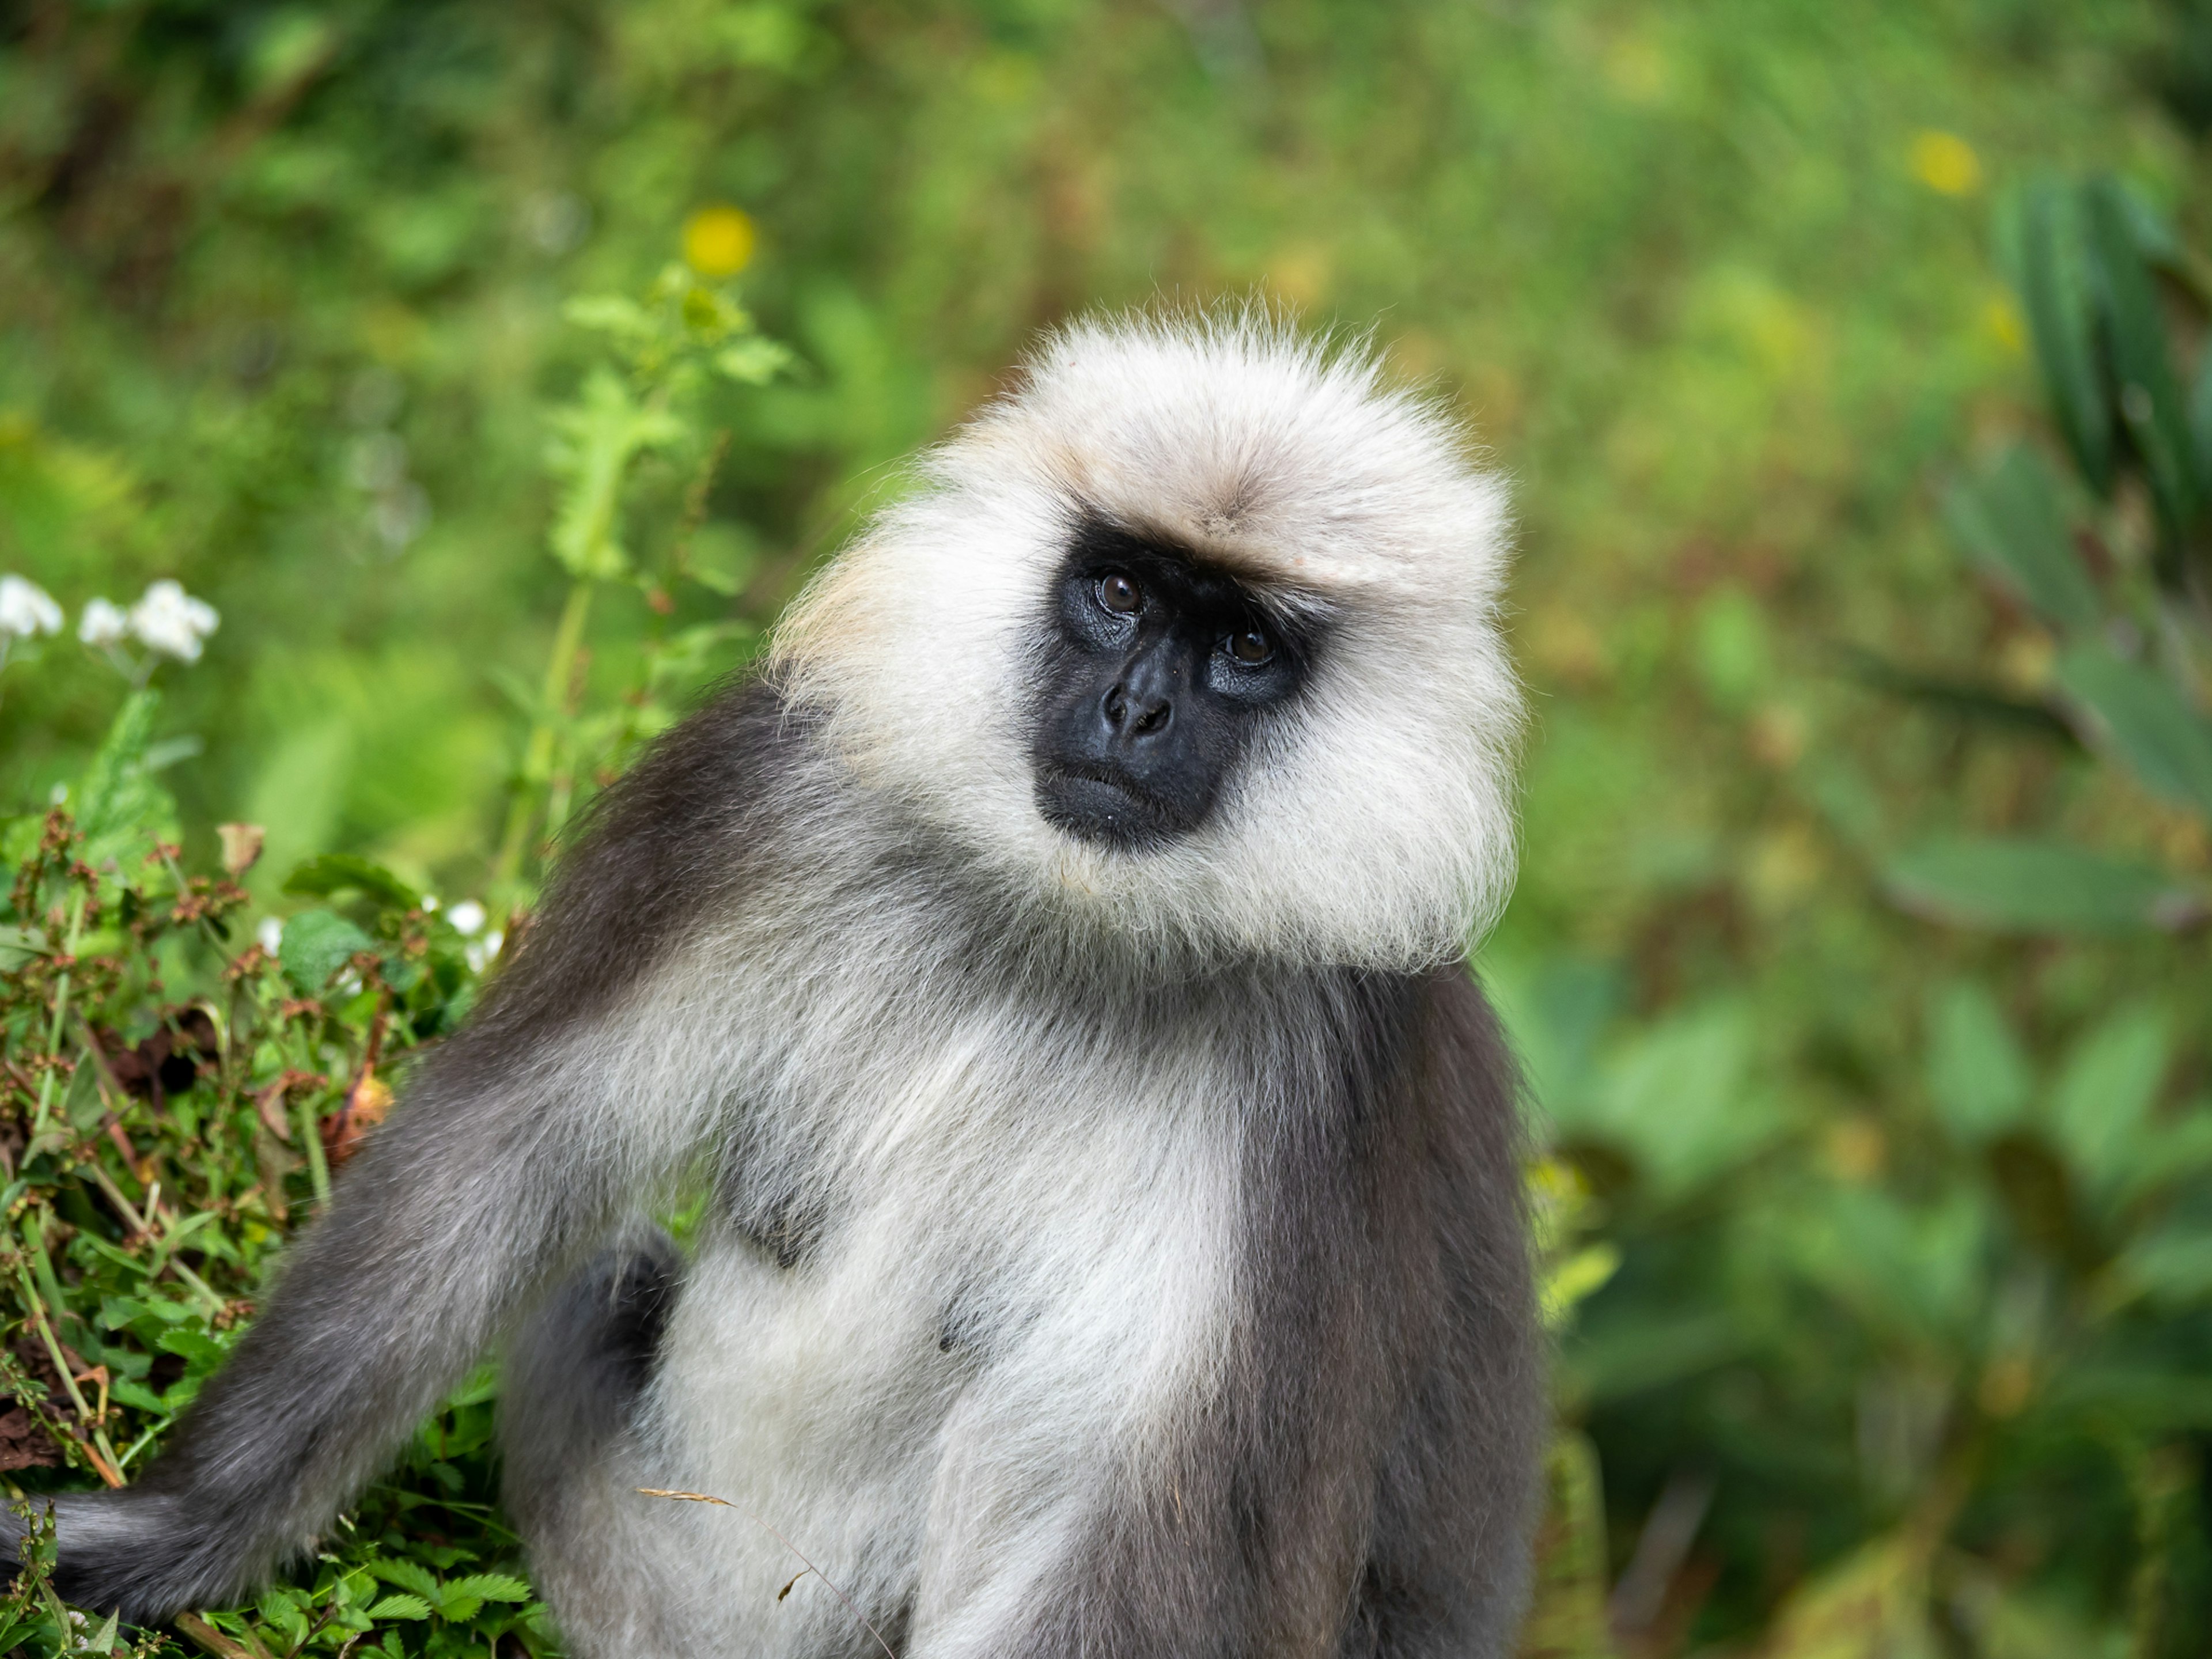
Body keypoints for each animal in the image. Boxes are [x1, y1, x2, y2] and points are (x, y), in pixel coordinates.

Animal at [13, 314, 1539, 1659]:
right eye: (1117, 594)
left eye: (1243, 649)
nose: (1136, 711)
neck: (1067, 929)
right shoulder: (772, 794)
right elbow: (505, 1144)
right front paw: (169, 1536)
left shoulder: (1334, 1070)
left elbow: (1175, 1522)